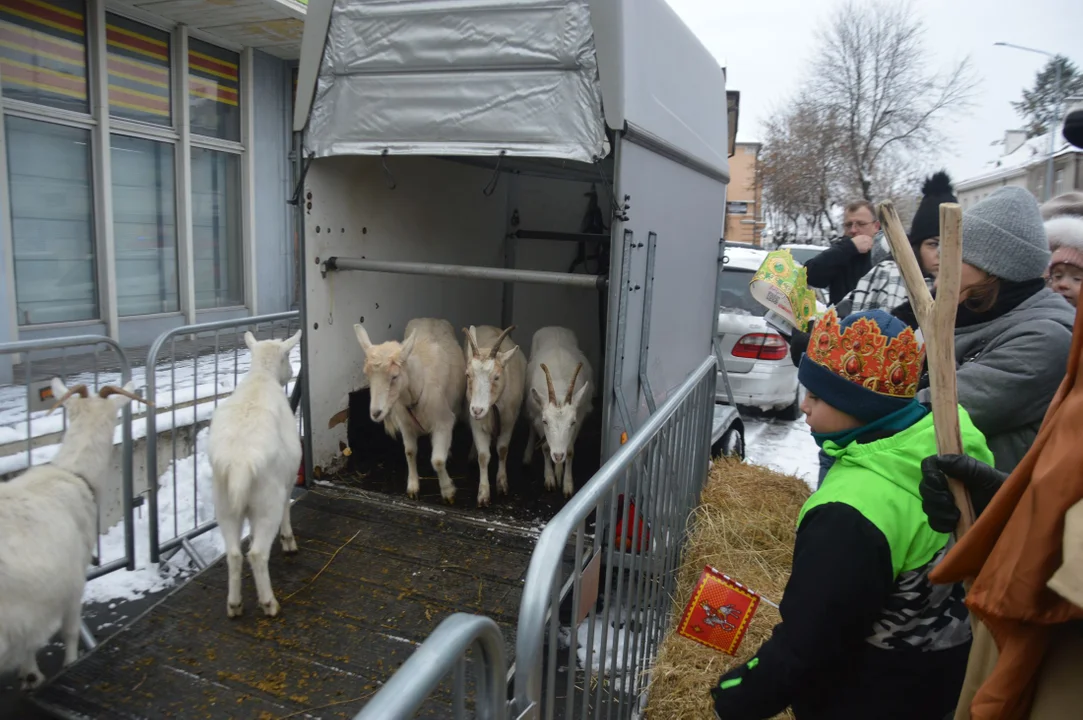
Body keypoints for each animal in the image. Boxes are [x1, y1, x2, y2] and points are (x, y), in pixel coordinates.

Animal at [207, 331, 303, 619]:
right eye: (287, 356)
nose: (292, 372)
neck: (261, 377)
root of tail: (239, 464)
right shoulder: (288, 478)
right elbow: (287, 507)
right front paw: (288, 541)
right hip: (266, 502)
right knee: (258, 554)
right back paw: (269, 603)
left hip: (224, 505)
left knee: (234, 554)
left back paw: (234, 604)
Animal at [355, 318, 465, 502]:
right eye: (368, 375)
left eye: (394, 376)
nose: (376, 413)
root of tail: (431, 318)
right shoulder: (406, 425)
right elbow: (410, 452)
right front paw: (413, 487)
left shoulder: (443, 422)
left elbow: (437, 460)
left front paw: (448, 491)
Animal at [461, 324, 524, 504]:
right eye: (468, 375)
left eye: (496, 377)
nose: (477, 410)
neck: (494, 406)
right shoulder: (477, 423)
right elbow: (484, 456)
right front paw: (483, 494)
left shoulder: (509, 421)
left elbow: (502, 450)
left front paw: (502, 484)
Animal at [522, 329, 593, 498]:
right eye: (545, 421)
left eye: (572, 422)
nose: (558, 456)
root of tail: (553, 327)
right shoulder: (537, 417)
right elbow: (545, 447)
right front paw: (549, 479)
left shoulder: (580, 417)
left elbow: (570, 451)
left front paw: (567, 484)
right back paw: (528, 457)